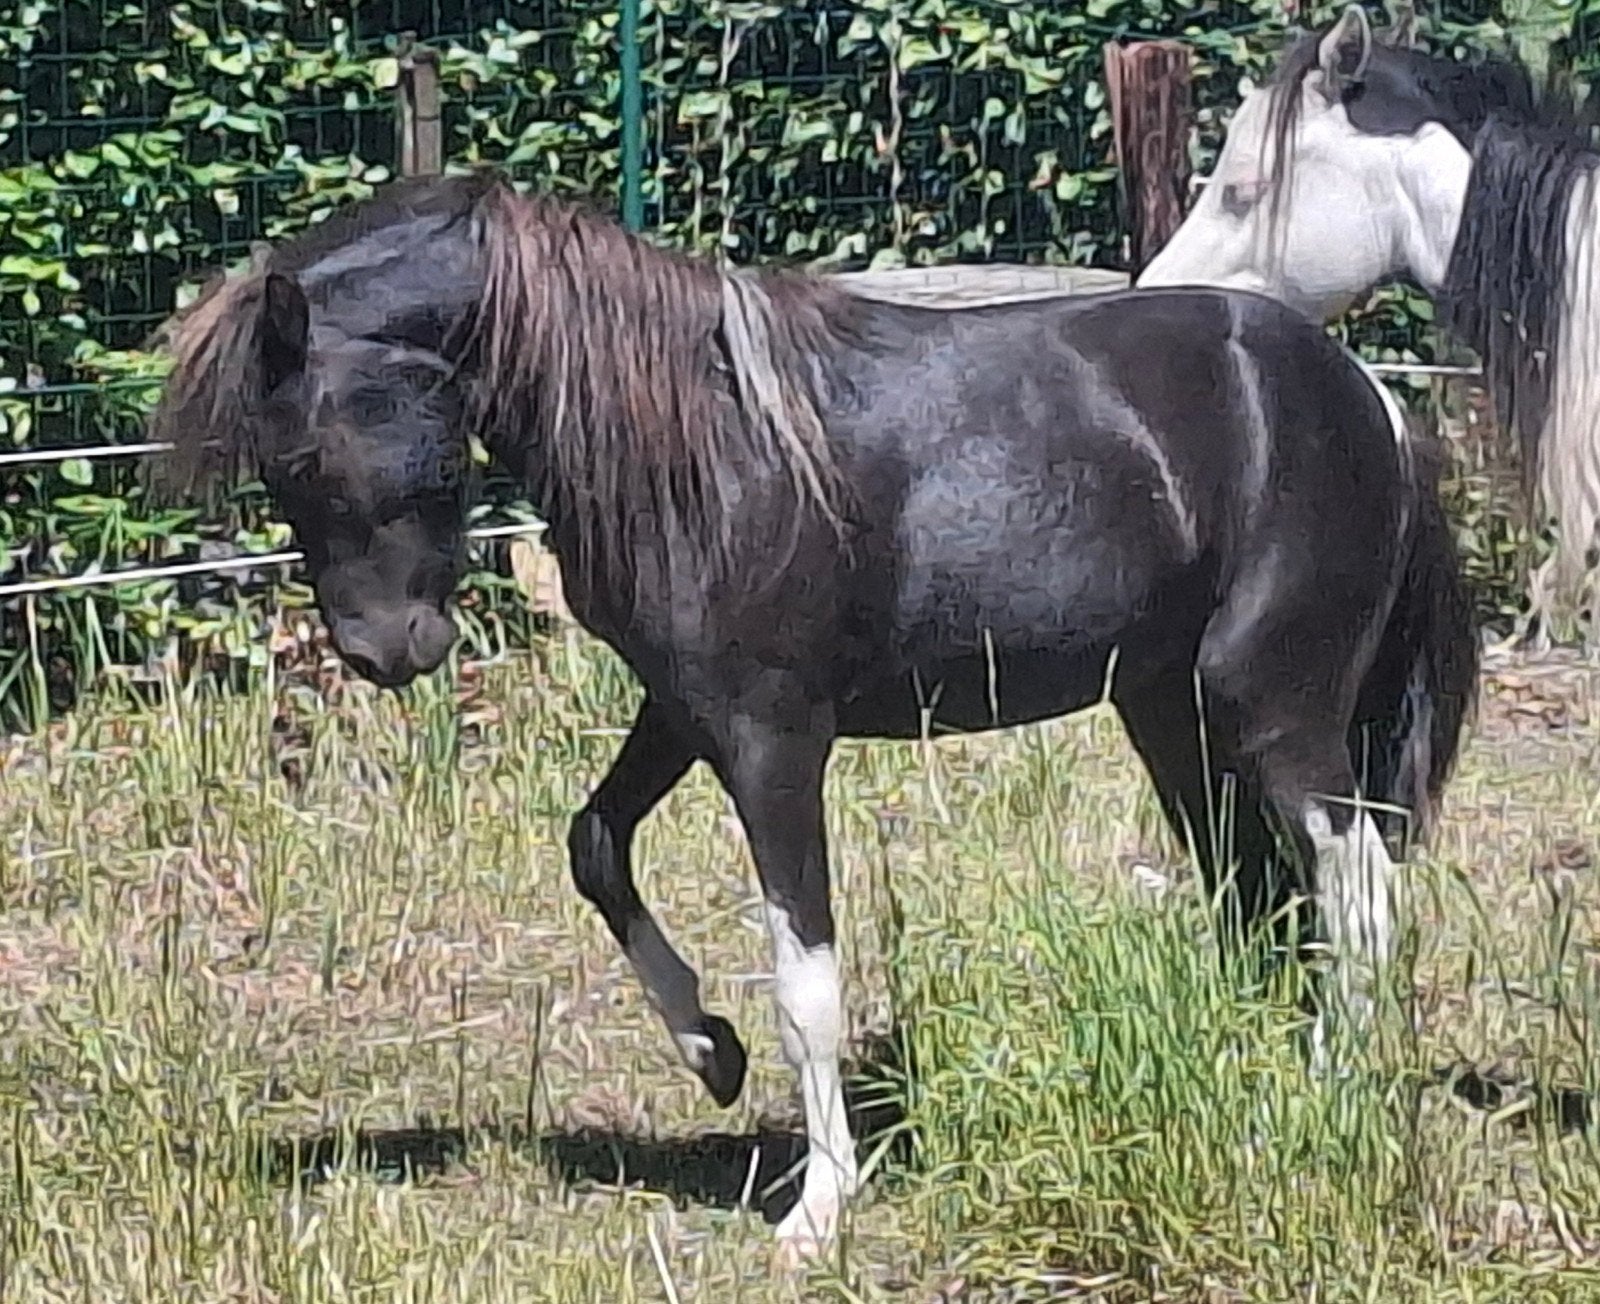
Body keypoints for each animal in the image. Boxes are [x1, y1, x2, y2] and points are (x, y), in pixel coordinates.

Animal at [145, 170, 1477, 1260]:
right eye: (274, 467)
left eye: (306, 454)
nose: (386, 652)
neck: (703, 442)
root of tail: (1368, 399)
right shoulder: (683, 711)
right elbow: (595, 844)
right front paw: (708, 1052)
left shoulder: (773, 741)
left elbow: (808, 978)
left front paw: (820, 1203)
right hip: (1171, 718)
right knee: (1260, 895)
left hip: (1273, 710)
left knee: (1357, 886)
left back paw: (1325, 1095)